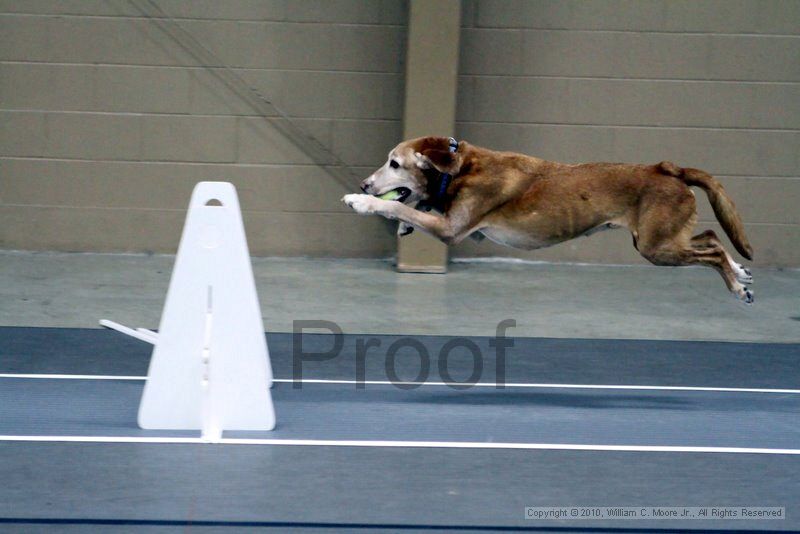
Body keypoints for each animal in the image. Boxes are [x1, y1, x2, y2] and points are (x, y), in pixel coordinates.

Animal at [340, 138, 752, 304]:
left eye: (394, 163)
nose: (364, 183)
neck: (460, 169)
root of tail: (668, 169)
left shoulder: (452, 230)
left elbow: (398, 207)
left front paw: (361, 202)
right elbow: (415, 208)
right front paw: (405, 222)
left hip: (657, 246)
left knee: (713, 250)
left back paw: (736, 285)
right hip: (662, 240)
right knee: (712, 235)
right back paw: (739, 272)